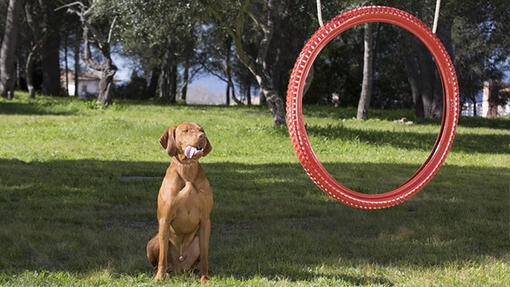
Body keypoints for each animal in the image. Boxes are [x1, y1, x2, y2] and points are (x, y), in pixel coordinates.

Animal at [146, 121, 212, 284]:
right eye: (186, 130)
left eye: (201, 130)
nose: (202, 136)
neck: (187, 169)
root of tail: (180, 270)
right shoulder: (165, 219)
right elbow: (162, 257)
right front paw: (160, 277)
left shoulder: (205, 220)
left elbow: (205, 257)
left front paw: (205, 278)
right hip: (152, 242)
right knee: (159, 262)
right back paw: (166, 274)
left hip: (196, 241)